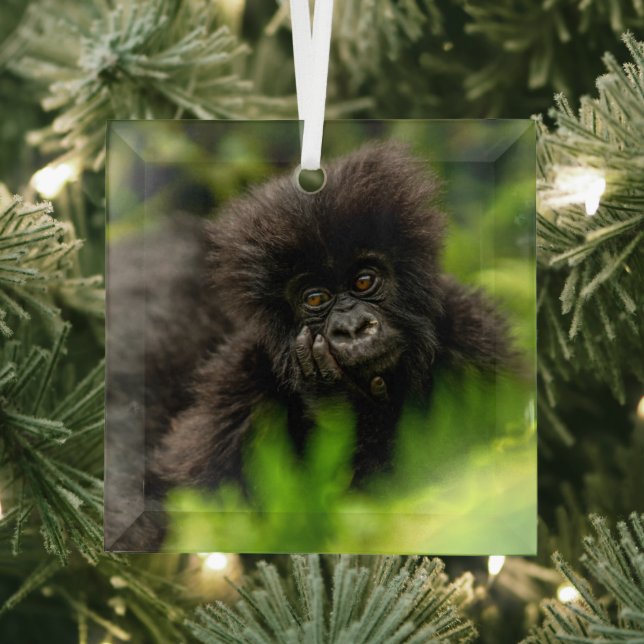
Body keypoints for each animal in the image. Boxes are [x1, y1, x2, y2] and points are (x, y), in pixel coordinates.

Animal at [105, 142, 515, 550]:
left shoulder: (477, 340)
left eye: (364, 281)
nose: (353, 328)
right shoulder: (237, 388)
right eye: (316, 298)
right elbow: (183, 500)